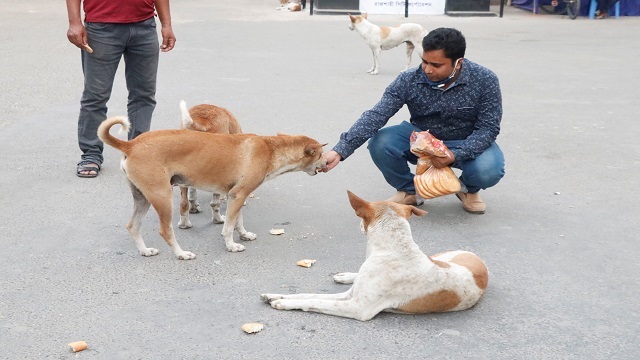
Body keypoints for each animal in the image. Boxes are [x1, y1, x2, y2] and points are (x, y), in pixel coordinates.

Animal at [97, 116, 328, 260]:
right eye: (321, 154)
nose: (327, 163)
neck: (270, 148)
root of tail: (131, 144)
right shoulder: (238, 195)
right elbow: (228, 227)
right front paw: (231, 245)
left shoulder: (237, 196)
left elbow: (237, 221)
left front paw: (243, 234)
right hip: (161, 196)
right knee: (165, 230)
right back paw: (181, 254)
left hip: (142, 197)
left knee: (132, 226)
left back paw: (145, 251)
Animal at [260, 191, 490, 320]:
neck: (395, 249)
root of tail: (478, 258)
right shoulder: (350, 296)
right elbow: (312, 295)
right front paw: (276, 295)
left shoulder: (357, 307)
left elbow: (314, 302)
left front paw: (283, 303)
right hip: (441, 256)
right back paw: (345, 275)